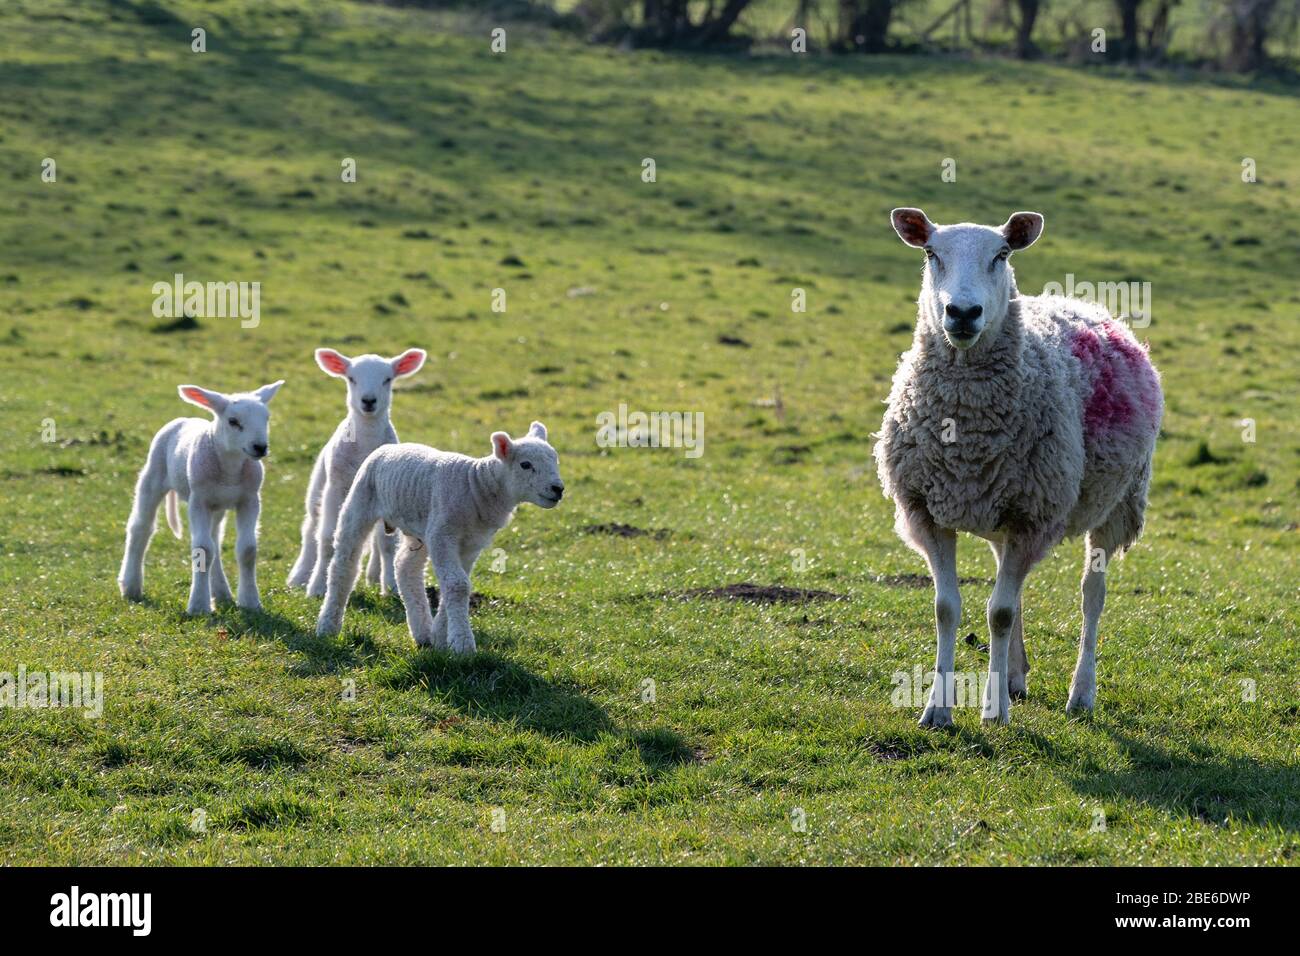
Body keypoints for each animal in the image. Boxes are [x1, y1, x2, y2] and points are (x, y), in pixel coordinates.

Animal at [116, 377, 284, 616]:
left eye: (267, 418)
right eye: (233, 421)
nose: (260, 447)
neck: (230, 469)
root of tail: (185, 419)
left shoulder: (249, 500)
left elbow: (247, 549)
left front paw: (251, 602)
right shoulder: (199, 500)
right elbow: (202, 549)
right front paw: (199, 606)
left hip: (218, 505)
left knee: (214, 539)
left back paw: (221, 593)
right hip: (153, 476)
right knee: (141, 528)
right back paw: (131, 586)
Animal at [286, 343, 423, 598]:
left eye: (387, 379)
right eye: (351, 378)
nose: (368, 401)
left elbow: (387, 544)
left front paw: (391, 587)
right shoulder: (335, 486)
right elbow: (327, 539)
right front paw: (317, 588)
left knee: (377, 540)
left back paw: (373, 576)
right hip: (318, 487)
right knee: (310, 530)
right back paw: (299, 577)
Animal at [317, 421, 566, 655]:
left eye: (556, 460)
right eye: (526, 465)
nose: (558, 489)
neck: (477, 486)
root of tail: (387, 448)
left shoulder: (471, 543)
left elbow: (457, 584)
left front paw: (440, 637)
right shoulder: (443, 534)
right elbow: (458, 584)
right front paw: (463, 645)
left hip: (420, 529)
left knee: (405, 567)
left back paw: (422, 633)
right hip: (360, 500)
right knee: (344, 564)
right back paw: (328, 626)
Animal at [873, 209, 1170, 728]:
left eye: (1001, 255)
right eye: (931, 253)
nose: (962, 313)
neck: (965, 426)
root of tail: (1075, 301)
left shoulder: (1032, 516)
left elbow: (1000, 615)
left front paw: (994, 710)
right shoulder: (925, 509)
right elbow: (948, 608)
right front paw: (937, 709)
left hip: (1119, 503)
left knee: (1091, 595)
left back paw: (1080, 693)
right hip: (1001, 511)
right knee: (1012, 589)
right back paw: (1015, 675)